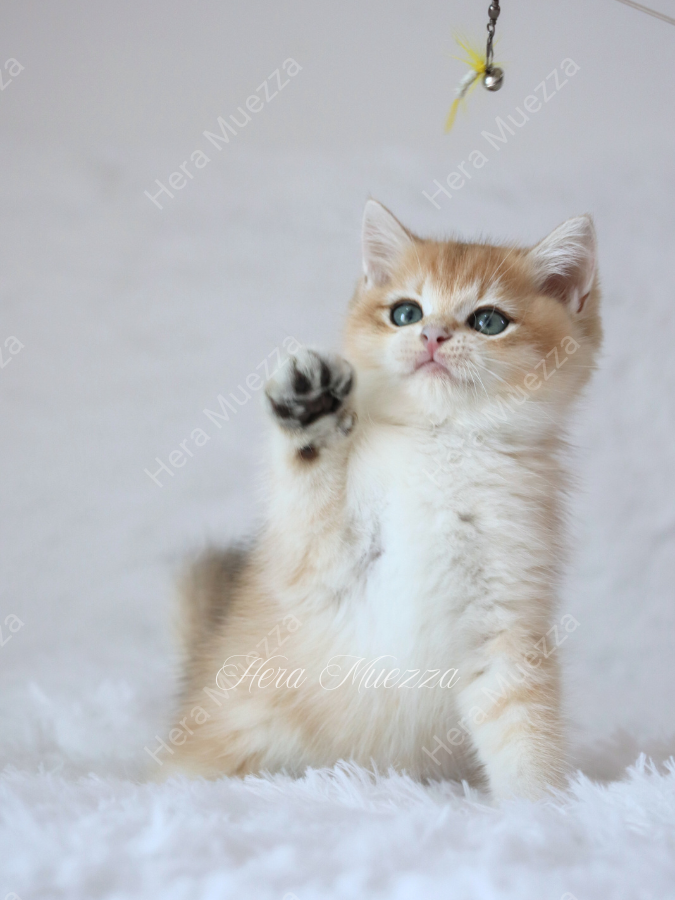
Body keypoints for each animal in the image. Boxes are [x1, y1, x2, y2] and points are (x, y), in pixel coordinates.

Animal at [162, 200, 601, 801]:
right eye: (406, 312)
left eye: (489, 321)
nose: (433, 336)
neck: (440, 447)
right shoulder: (315, 568)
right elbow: (308, 501)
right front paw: (309, 412)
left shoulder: (507, 619)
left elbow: (524, 727)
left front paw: (542, 809)